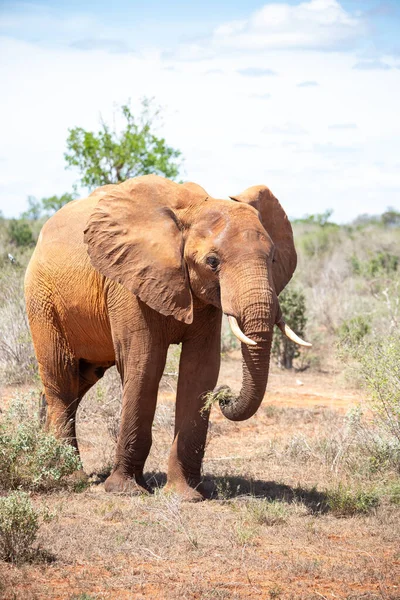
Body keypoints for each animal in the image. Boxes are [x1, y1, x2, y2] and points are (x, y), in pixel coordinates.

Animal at [25, 175, 310, 502]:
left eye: (273, 258)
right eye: (213, 262)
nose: (225, 396)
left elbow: (200, 369)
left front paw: (187, 495)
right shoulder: (129, 282)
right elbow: (144, 365)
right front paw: (126, 491)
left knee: (78, 381)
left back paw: (44, 457)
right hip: (42, 299)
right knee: (60, 374)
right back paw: (68, 476)